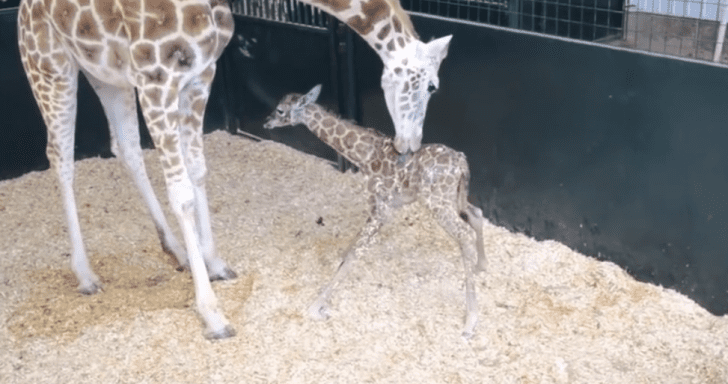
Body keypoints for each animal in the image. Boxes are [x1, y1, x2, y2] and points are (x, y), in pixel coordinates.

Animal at [264, 85, 486, 338]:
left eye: (280, 110)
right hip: (454, 197)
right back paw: (481, 266)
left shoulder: (381, 207)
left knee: (464, 234)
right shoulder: (383, 207)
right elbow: (353, 248)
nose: (266, 122)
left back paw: (470, 321)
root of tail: (462, 162)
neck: (362, 155)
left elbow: (356, 253)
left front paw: (316, 306)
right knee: (476, 214)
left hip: (438, 202)